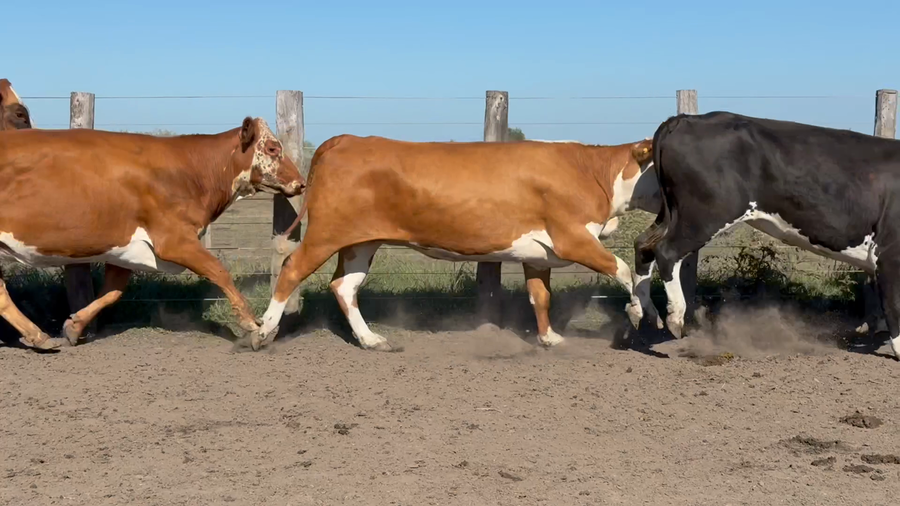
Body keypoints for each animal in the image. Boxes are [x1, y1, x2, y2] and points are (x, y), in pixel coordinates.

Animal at [0, 118, 306, 350]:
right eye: (272, 148)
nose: (301, 182)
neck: (191, 170)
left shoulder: (126, 249)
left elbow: (112, 291)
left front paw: (74, 325)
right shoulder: (175, 240)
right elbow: (219, 271)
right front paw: (251, 324)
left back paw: (37, 336)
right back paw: (38, 336)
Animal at [248, 134, 667, 352]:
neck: (591, 171)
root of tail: (346, 140)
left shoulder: (538, 253)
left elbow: (540, 296)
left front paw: (549, 338)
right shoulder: (573, 239)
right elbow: (627, 272)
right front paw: (643, 313)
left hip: (362, 242)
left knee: (344, 286)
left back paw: (371, 339)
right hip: (326, 234)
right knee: (291, 271)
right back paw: (263, 332)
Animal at [630, 110, 900, 358]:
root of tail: (686, 118)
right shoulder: (889, 254)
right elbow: (893, 305)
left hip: (674, 213)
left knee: (643, 245)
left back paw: (640, 311)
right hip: (706, 214)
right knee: (666, 251)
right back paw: (675, 318)